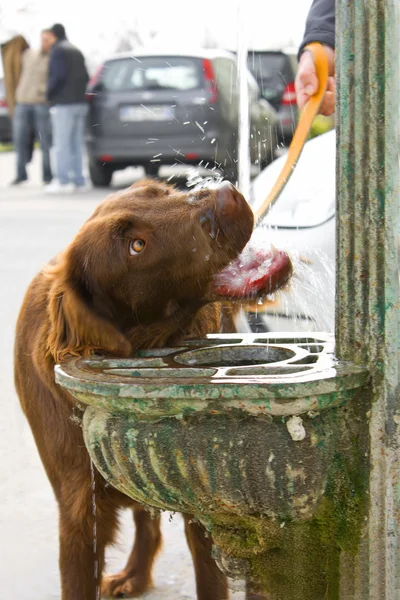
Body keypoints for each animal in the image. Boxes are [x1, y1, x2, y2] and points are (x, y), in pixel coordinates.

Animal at [14, 179, 253, 600]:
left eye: (161, 192)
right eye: (136, 247)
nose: (228, 195)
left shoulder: (201, 498)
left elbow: (210, 577)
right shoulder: (79, 517)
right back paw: (134, 576)